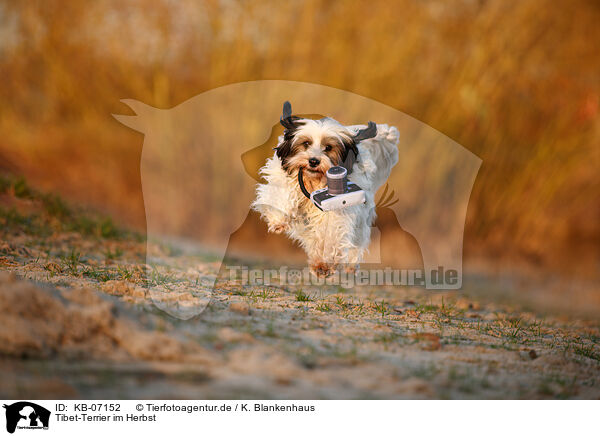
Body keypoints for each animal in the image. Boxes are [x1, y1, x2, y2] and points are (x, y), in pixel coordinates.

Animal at [252, 102, 398, 276]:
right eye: (306, 143)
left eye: (328, 147)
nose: (313, 161)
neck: (313, 181)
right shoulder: (283, 180)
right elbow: (281, 195)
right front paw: (278, 220)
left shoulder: (337, 211)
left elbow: (330, 232)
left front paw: (325, 263)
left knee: (356, 239)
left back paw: (344, 264)